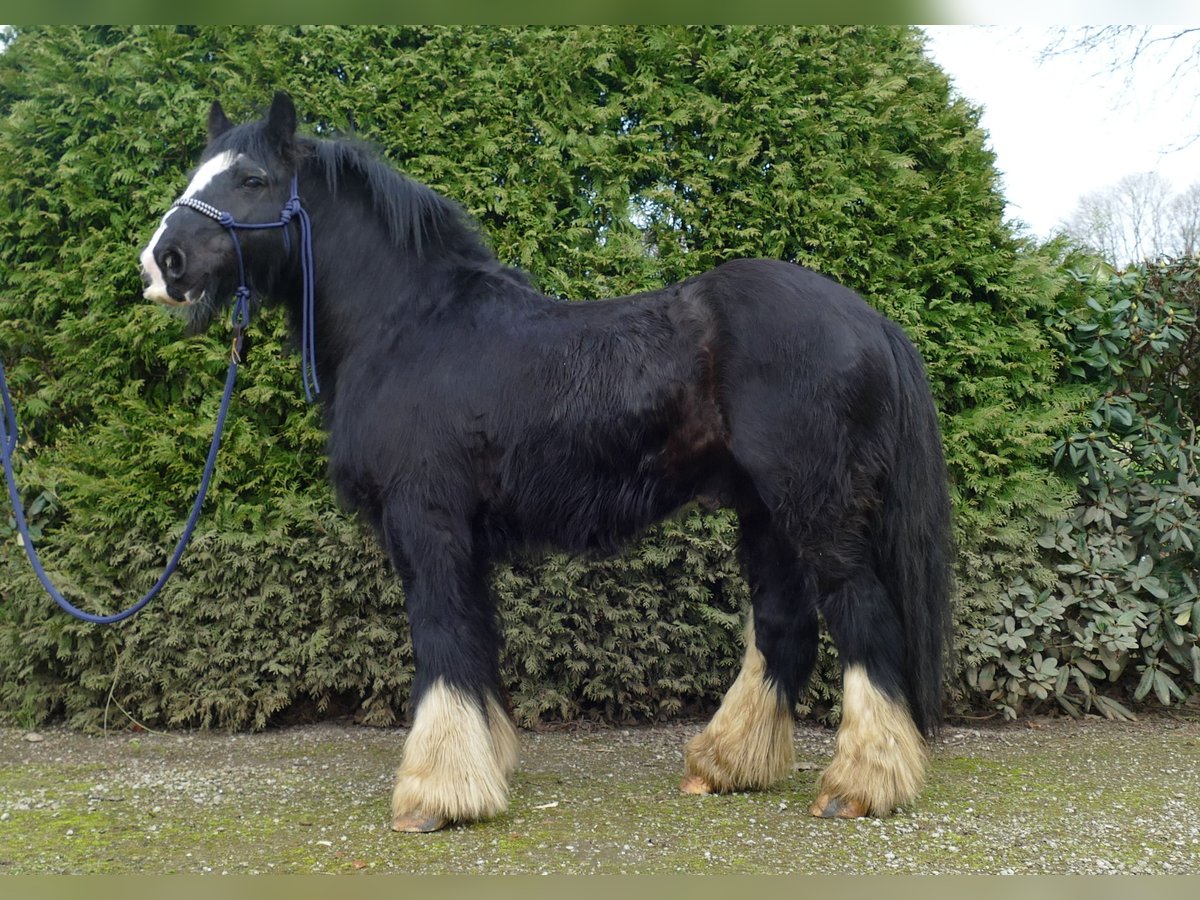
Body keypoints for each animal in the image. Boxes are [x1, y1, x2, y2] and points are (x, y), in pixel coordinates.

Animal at [140, 95, 950, 835]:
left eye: (250, 178)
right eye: (198, 171)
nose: (161, 261)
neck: (410, 326)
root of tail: (869, 319)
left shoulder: (427, 523)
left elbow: (442, 641)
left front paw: (434, 796)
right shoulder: (465, 539)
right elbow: (476, 644)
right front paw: (483, 766)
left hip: (818, 510)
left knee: (864, 619)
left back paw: (860, 784)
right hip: (766, 516)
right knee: (784, 628)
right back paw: (725, 765)